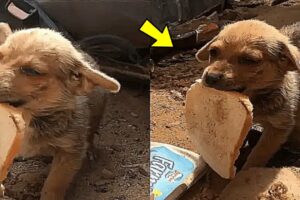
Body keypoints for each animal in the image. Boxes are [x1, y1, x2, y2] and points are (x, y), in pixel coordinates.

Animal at [196, 19, 300, 169]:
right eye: (213, 52)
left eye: (249, 60)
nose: (210, 77)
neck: (254, 99)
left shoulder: (278, 127)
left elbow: (258, 154)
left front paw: (245, 171)